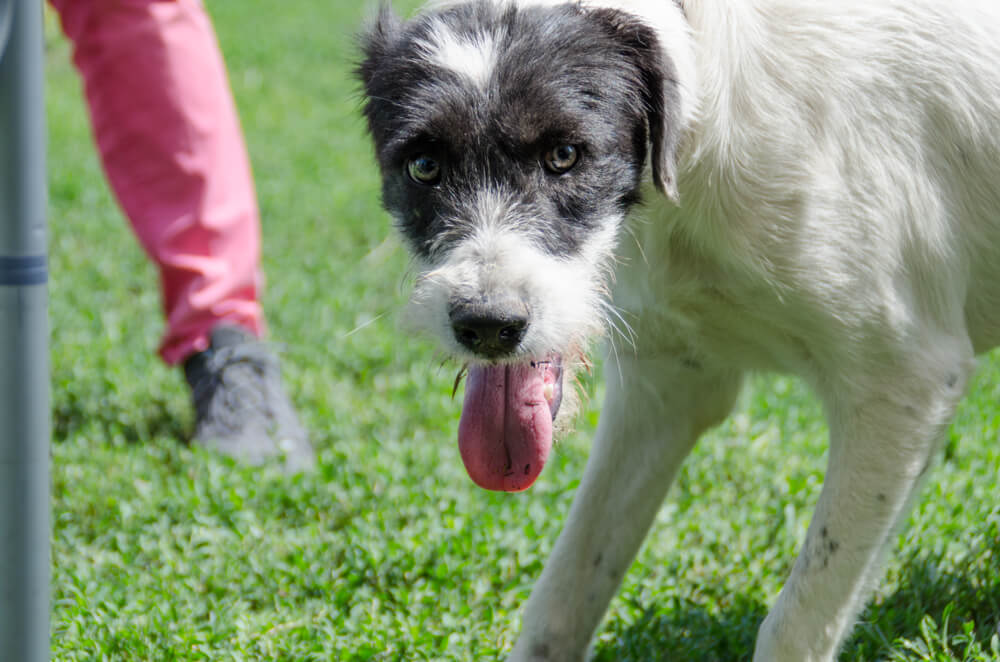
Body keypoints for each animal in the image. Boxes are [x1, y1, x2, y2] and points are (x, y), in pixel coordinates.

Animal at [358, 0, 1000, 659]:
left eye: (565, 155)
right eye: (424, 166)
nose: (487, 325)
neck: (694, 149)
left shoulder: (903, 384)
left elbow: (797, 619)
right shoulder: (666, 389)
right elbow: (565, 592)